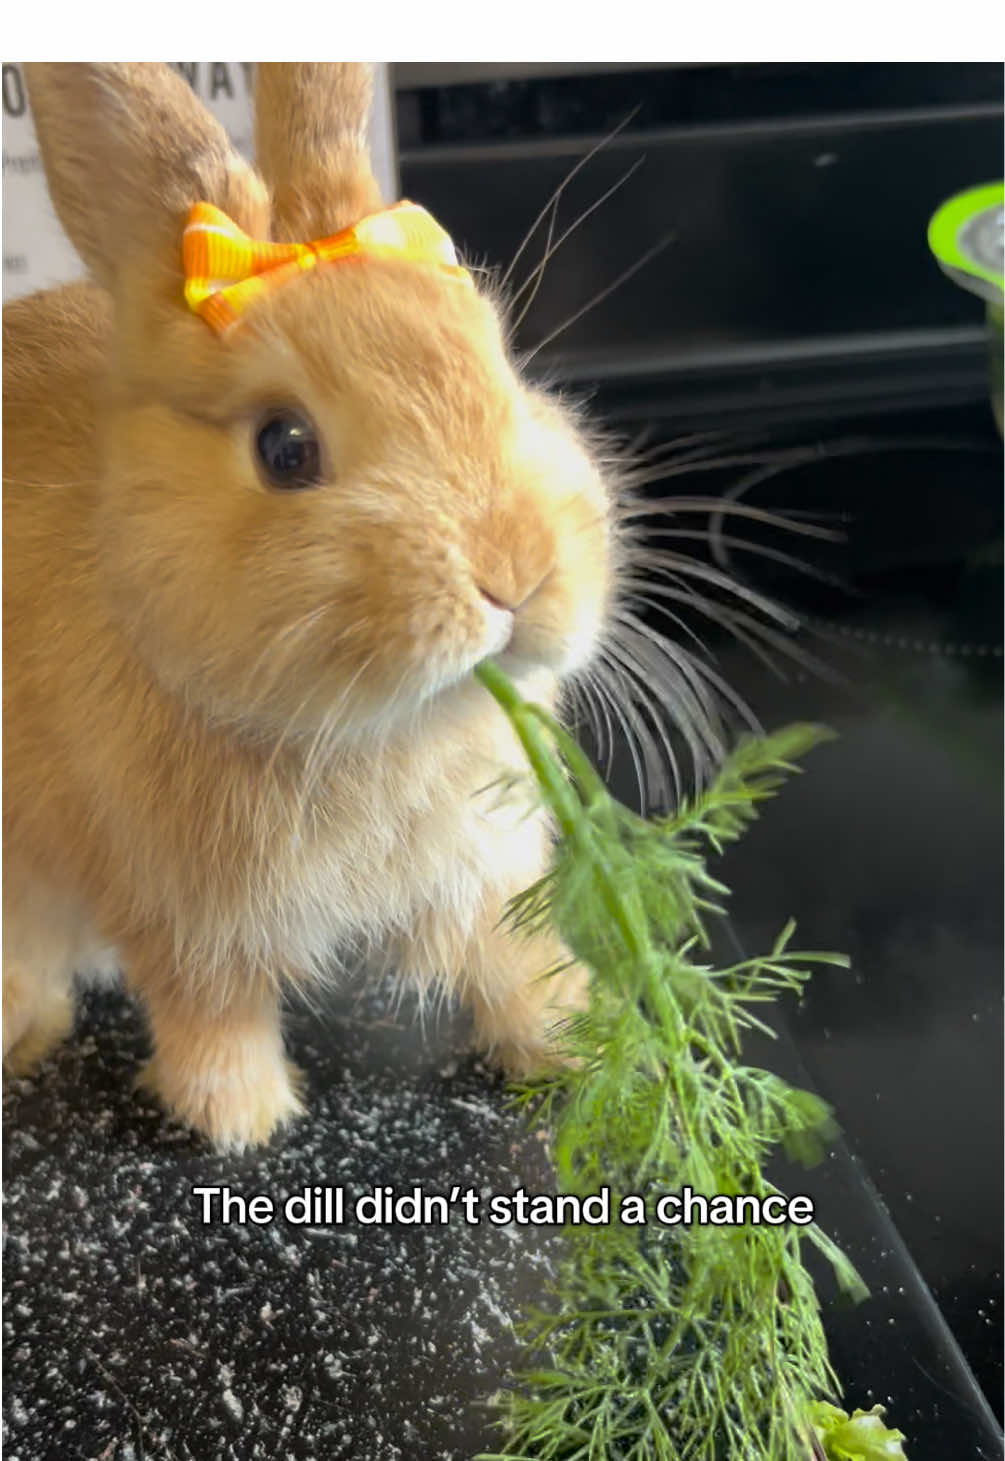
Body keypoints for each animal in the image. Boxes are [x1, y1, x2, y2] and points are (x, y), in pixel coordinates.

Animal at [2, 63, 618, 1150]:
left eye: (503, 370)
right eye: (285, 448)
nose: (514, 572)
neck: (375, 731)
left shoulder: (484, 870)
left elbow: (511, 955)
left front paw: (574, 1037)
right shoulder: (183, 918)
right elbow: (212, 1013)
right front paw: (239, 1120)